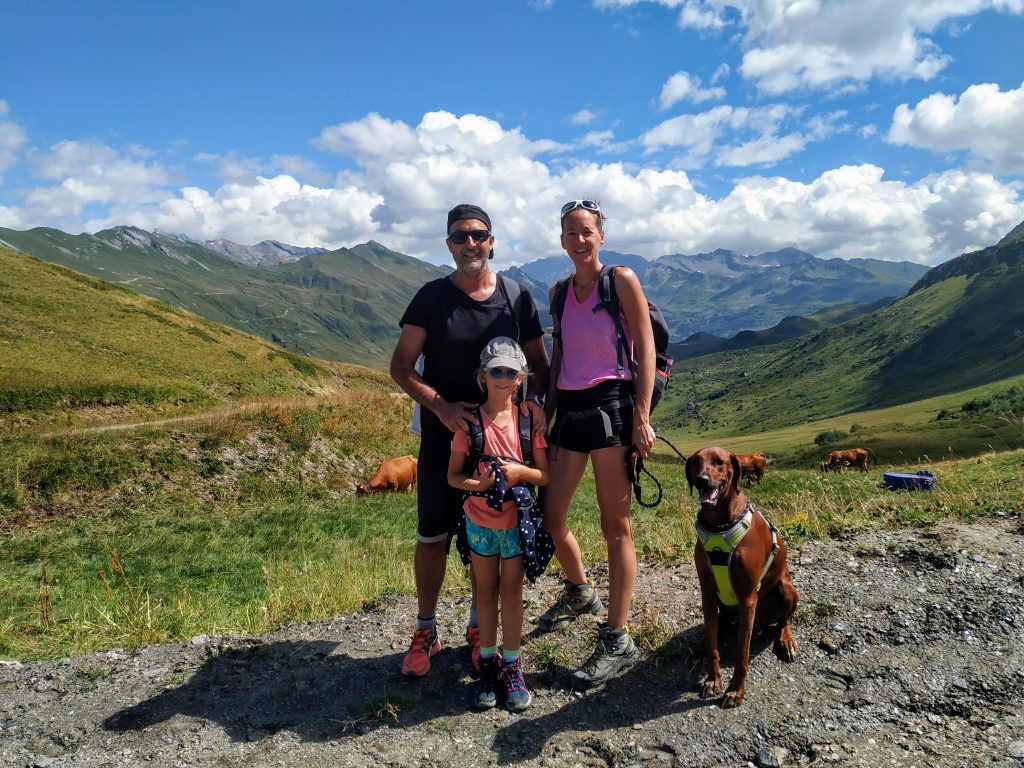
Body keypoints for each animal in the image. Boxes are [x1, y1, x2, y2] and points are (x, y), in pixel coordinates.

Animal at [688, 450, 798, 708]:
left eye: (719, 462)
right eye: (696, 461)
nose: (702, 480)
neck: (719, 524)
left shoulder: (748, 597)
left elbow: (741, 652)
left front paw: (735, 690)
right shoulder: (707, 593)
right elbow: (713, 648)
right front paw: (713, 680)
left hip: (786, 587)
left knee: (785, 619)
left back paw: (786, 639)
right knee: (719, 623)